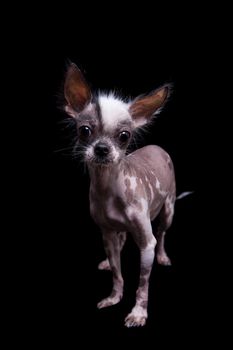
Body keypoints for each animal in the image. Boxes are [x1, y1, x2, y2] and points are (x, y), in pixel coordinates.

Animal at [63, 63, 189, 328]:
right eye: (84, 130)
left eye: (124, 136)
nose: (101, 149)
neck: (108, 190)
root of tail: (157, 147)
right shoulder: (107, 234)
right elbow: (117, 273)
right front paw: (113, 297)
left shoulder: (147, 243)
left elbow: (142, 285)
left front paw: (138, 313)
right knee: (122, 240)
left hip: (169, 210)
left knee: (162, 233)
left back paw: (163, 256)